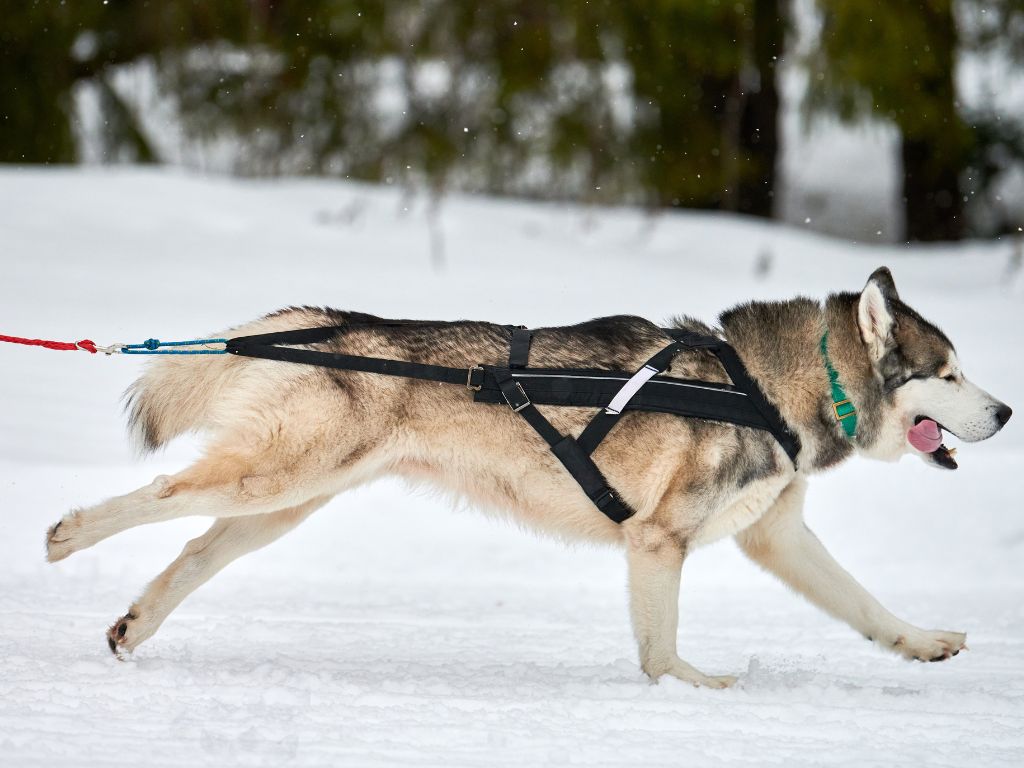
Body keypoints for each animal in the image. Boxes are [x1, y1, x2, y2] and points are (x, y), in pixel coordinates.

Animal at [46, 268, 1007, 688]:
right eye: (948, 372)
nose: (1003, 413)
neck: (766, 387)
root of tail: (327, 322)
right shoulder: (658, 541)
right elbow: (660, 653)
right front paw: (693, 692)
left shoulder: (779, 536)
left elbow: (865, 605)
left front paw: (922, 643)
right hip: (274, 480)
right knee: (158, 500)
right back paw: (66, 534)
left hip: (282, 505)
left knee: (193, 552)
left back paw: (133, 625)